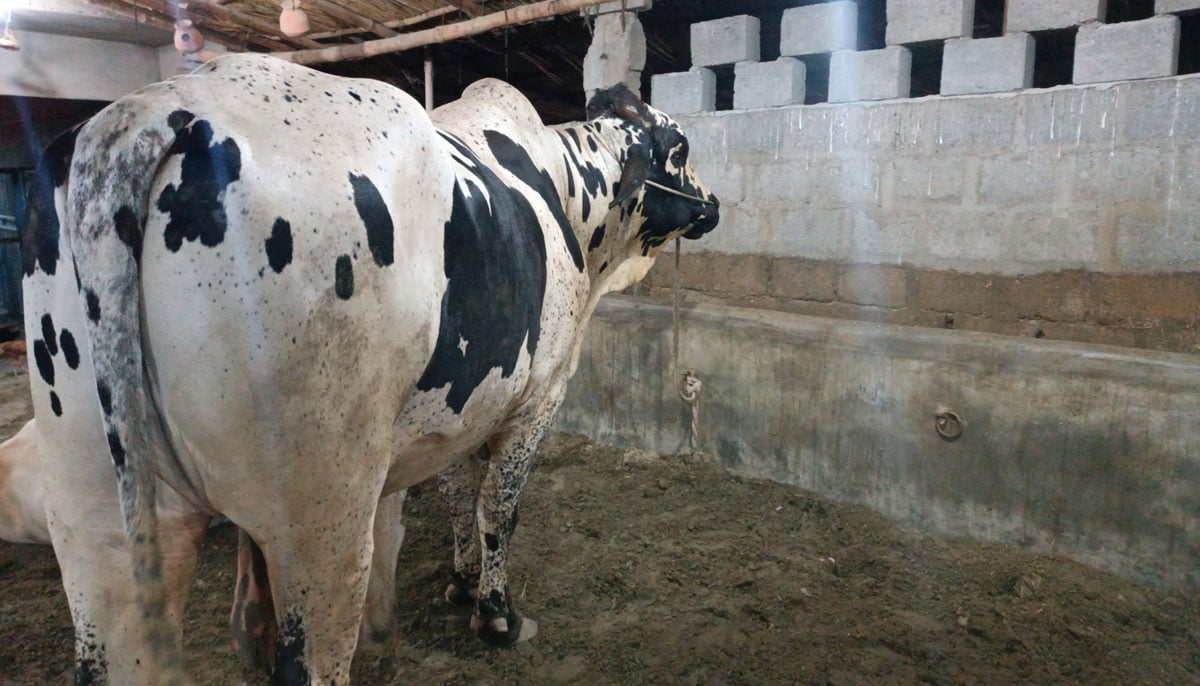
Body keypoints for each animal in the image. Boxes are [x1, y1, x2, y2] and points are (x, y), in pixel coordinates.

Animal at [23, 50, 715, 681]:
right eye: (679, 146)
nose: (711, 204)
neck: (567, 194)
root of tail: (148, 113)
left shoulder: (458, 406)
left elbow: (458, 495)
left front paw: (461, 583)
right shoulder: (535, 401)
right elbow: (498, 508)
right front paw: (496, 615)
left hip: (95, 515)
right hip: (323, 521)